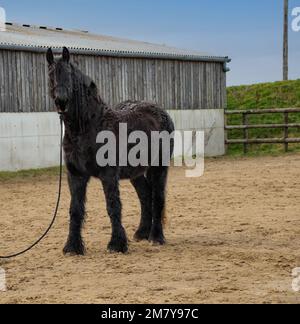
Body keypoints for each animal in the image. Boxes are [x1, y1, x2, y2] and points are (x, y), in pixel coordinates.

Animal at [45, 47, 175, 256]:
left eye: (69, 74)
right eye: (51, 74)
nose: (61, 101)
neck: (89, 126)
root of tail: (160, 112)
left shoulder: (108, 174)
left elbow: (113, 206)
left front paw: (116, 244)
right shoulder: (76, 175)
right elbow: (75, 209)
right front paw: (72, 246)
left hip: (159, 167)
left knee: (157, 197)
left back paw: (156, 237)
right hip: (135, 173)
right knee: (145, 196)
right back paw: (141, 233)